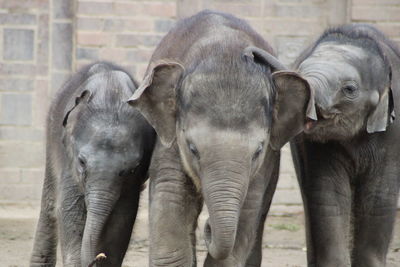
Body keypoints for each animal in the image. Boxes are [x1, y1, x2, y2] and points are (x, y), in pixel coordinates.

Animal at [29, 61, 155, 266]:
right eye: (82, 162)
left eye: (132, 169)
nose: (97, 257)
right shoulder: (69, 159)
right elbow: (69, 209)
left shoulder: (133, 181)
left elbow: (123, 217)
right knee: (49, 205)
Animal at [128, 9, 312, 266]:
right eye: (192, 148)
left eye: (258, 151)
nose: (208, 228)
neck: (225, 51)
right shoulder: (168, 136)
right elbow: (170, 192)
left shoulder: (266, 160)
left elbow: (249, 208)